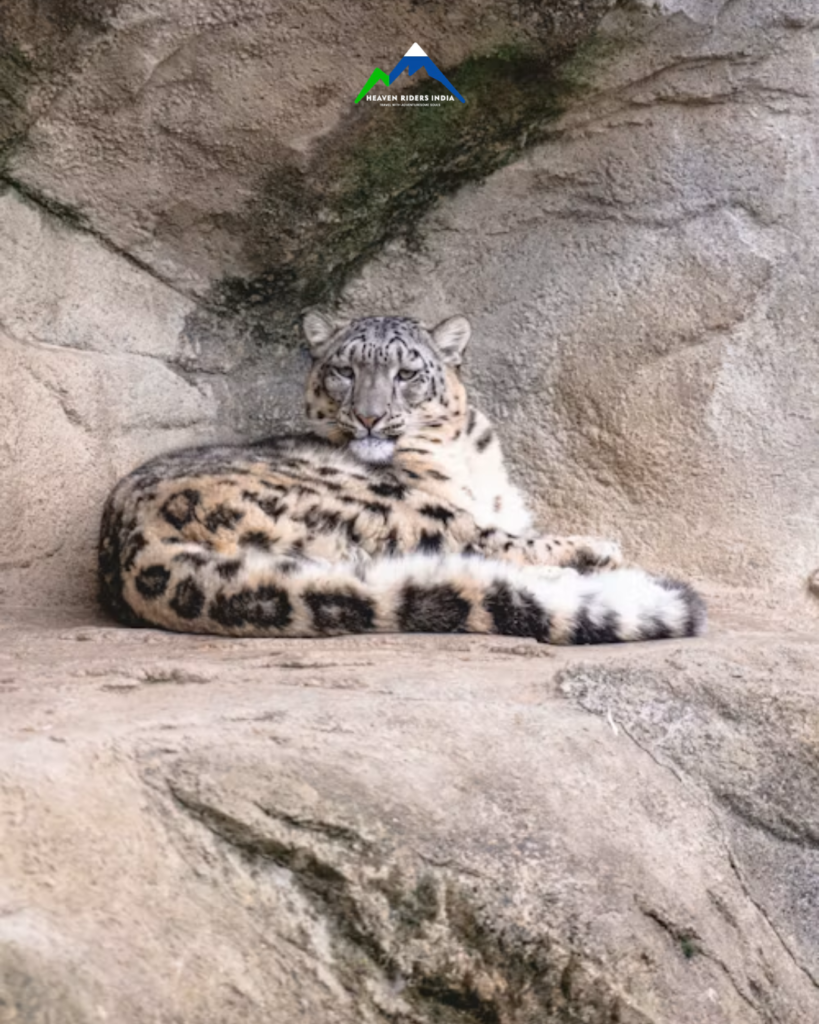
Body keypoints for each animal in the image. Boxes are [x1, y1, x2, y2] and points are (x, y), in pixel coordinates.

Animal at [98, 313, 705, 643]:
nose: (369, 416)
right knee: (481, 548)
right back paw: (591, 561)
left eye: (407, 372)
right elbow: (513, 537)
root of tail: (132, 552)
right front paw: (594, 547)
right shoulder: (452, 507)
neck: (467, 454)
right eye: (343, 370)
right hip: (387, 502)